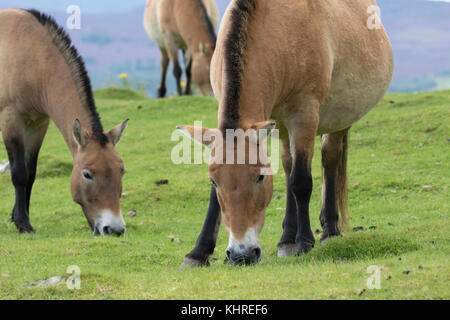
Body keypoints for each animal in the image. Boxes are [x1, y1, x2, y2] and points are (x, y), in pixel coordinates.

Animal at [0, 9, 130, 235]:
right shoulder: (11, 119)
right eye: (87, 174)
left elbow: (30, 174)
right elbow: (19, 173)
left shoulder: (38, 124)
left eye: (121, 171)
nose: (113, 229)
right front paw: (23, 224)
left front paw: (18, 217)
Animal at [179, 0, 394, 266]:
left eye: (260, 177)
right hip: (281, 126)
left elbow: (301, 182)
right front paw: (198, 252)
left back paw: (329, 230)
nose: (241, 254)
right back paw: (287, 239)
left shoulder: (304, 115)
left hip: (337, 119)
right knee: (289, 164)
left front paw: (305, 242)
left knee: (328, 160)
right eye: (214, 181)